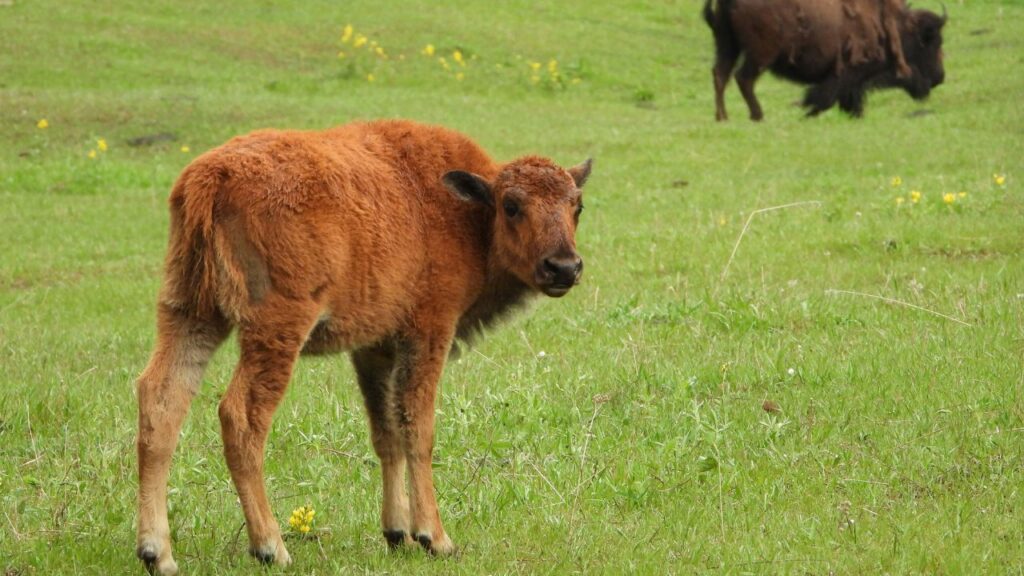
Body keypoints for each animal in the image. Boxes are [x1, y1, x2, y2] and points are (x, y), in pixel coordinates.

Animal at [704, 0, 947, 120]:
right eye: (932, 41)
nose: (939, 77)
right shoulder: (847, 74)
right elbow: (825, 97)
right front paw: (806, 112)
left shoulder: (852, 82)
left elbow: (845, 99)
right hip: (759, 55)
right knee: (743, 78)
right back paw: (757, 115)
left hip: (727, 45)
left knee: (720, 75)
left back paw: (722, 116)